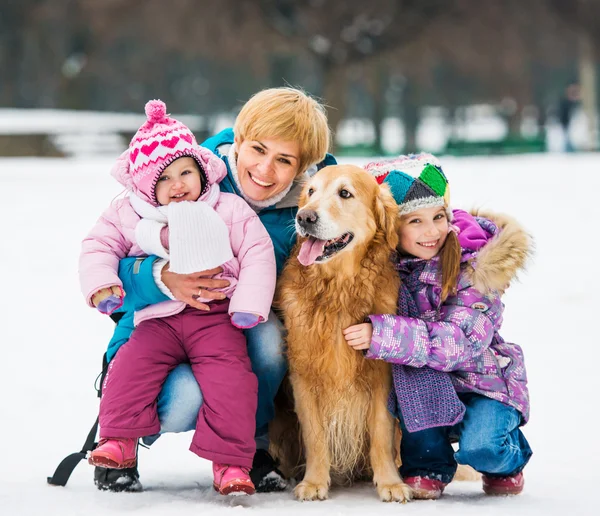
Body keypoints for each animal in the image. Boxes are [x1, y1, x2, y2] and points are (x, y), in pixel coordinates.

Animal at [274, 164, 410, 500]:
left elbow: (381, 431)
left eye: (345, 193)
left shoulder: (381, 375)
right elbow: (315, 435)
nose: (304, 218)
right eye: (311, 192)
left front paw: (389, 482)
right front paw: (313, 482)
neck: (338, 291)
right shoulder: (303, 373)